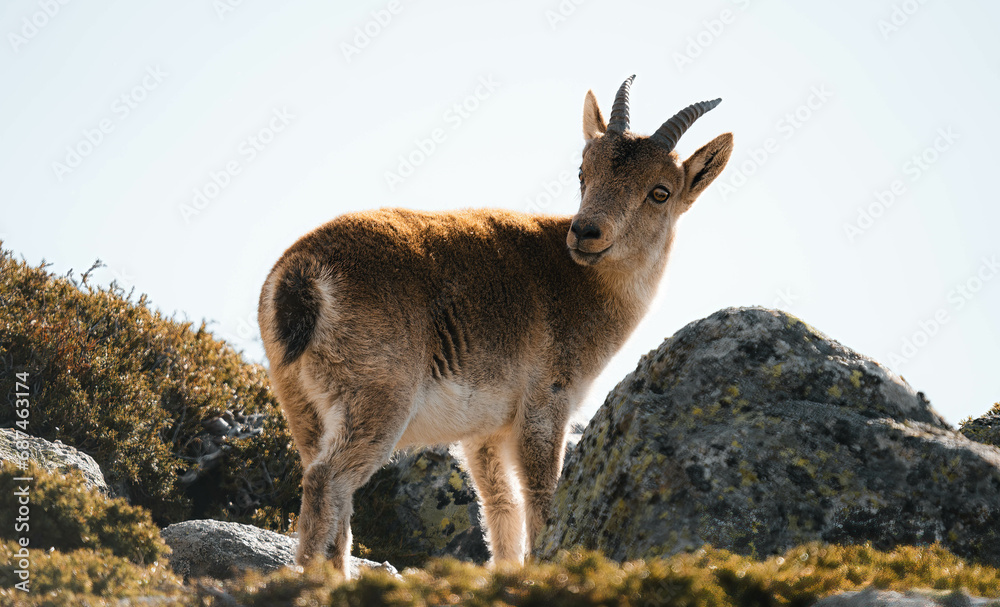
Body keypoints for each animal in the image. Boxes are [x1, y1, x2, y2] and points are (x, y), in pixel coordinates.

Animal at [258, 75, 734, 574]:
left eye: (660, 191)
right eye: (583, 173)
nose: (586, 233)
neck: (581, 285)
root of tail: (302, 276)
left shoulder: (483, 431)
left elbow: (500, 506)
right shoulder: (546, 401)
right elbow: (540, 496)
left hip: (301, 405)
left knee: (330, 486)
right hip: (378, 397)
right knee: (328, 480)